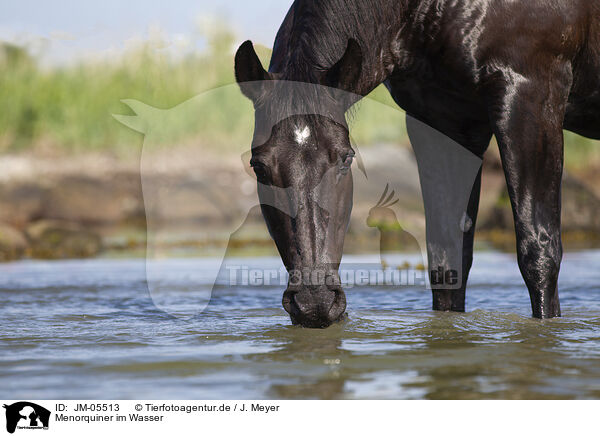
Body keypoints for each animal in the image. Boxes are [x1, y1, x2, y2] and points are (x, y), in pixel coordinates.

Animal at [234, 0, 600, 328]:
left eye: (346, 158)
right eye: (259, 166)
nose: (315, 302)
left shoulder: (531, 95)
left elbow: (539, 252)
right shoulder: (442, 122)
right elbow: (447, 258)